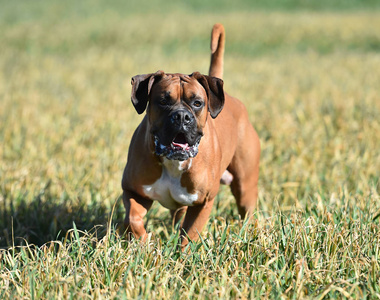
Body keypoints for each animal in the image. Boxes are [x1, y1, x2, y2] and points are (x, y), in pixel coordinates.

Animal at [121, 23, 262, 247]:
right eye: (163, 101)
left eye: (197, 103)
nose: (181, 116)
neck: (172, 162)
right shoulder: (133, 191)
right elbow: (133, 219)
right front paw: (144, 244)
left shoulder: (203, 202)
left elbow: (189, 235)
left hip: (245, 185)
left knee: (248, 211)